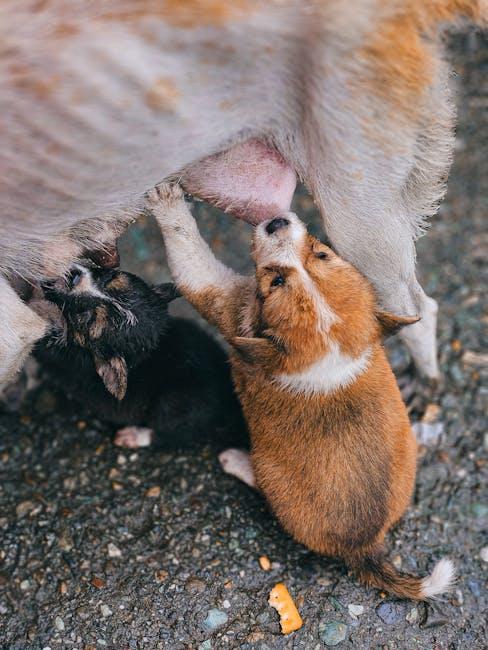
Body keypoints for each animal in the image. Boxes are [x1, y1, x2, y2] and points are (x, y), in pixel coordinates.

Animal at [34, 262, 246, 446]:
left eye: (86, 317)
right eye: (110, 276)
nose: (73, 275)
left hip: (176, 403)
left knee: (174, 435)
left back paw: (133, 436)